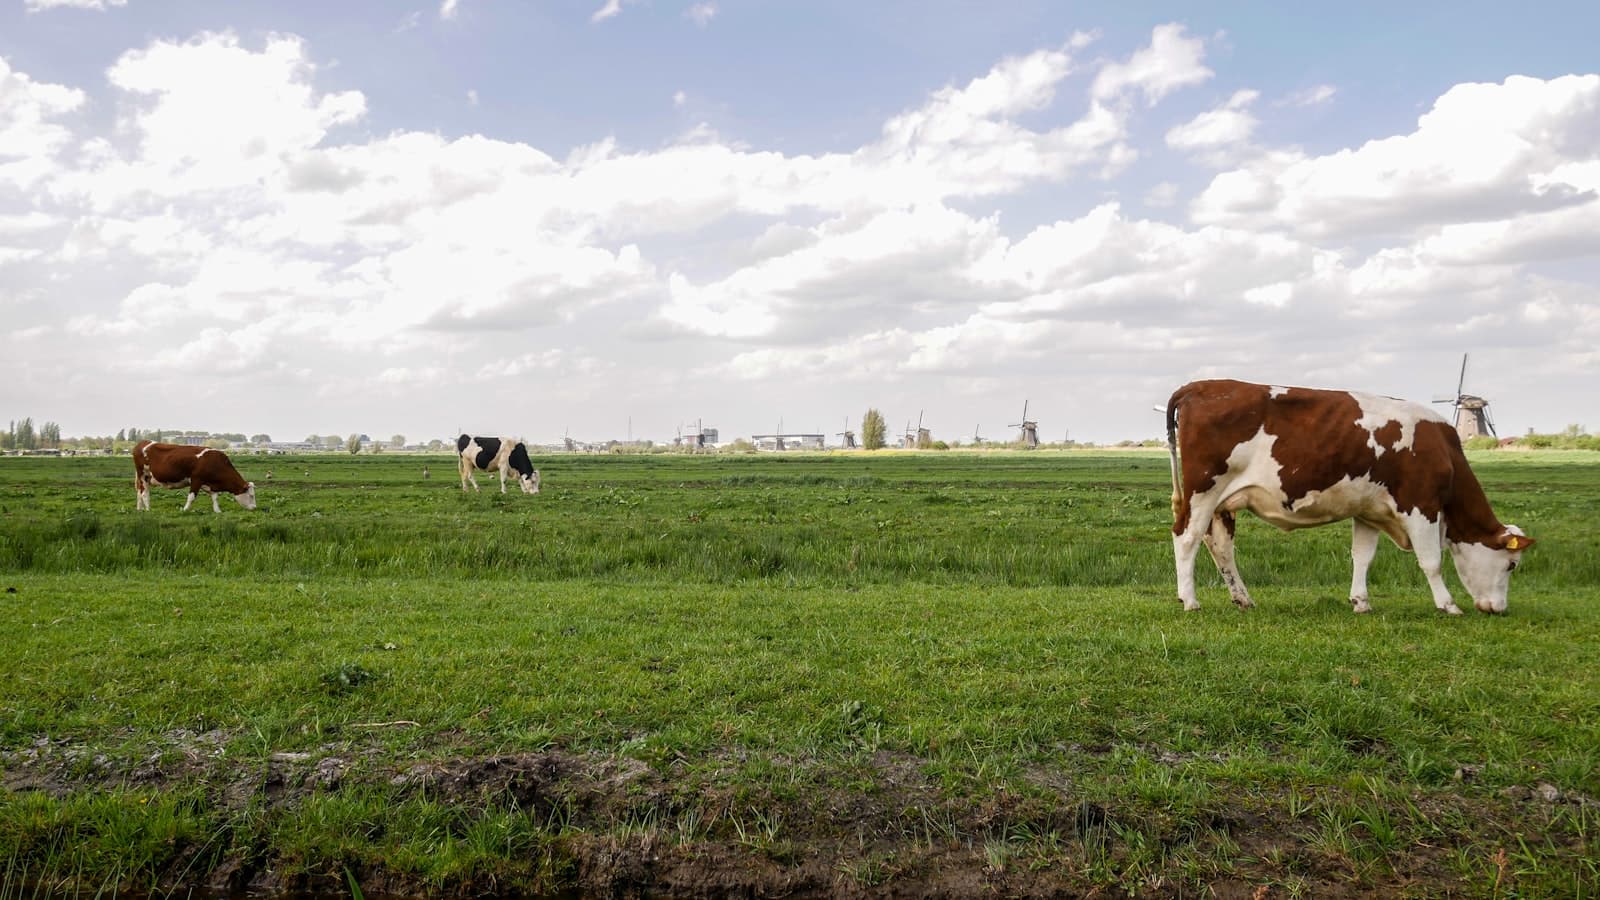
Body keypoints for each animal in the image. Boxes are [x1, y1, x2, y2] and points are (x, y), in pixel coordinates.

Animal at [1166, 380, 1533, 615]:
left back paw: (1242, 598)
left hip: (1223, 503)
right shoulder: (1421, 506)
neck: (1444, 451)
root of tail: (1198, 386)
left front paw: (1361, 601)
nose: (1499, 609)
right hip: (1203, 491)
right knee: (1186, 538)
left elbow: (1362, 557)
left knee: (1220, 547)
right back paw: (1189, 600)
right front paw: (1448, 604)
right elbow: (1431, 561)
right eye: (1511, 565)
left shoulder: (1369, 510)